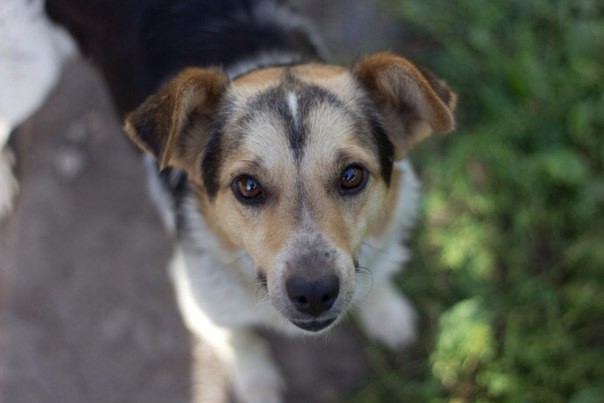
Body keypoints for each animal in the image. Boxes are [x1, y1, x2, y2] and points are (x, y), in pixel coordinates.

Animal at [4, 0, 456, 402]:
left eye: (351, 176)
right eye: (248, 186)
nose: (313, 293)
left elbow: (377, 275)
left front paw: (386, 310)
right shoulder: (194, 294)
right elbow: (237, 336)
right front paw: (256, 380)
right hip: (31, 74)